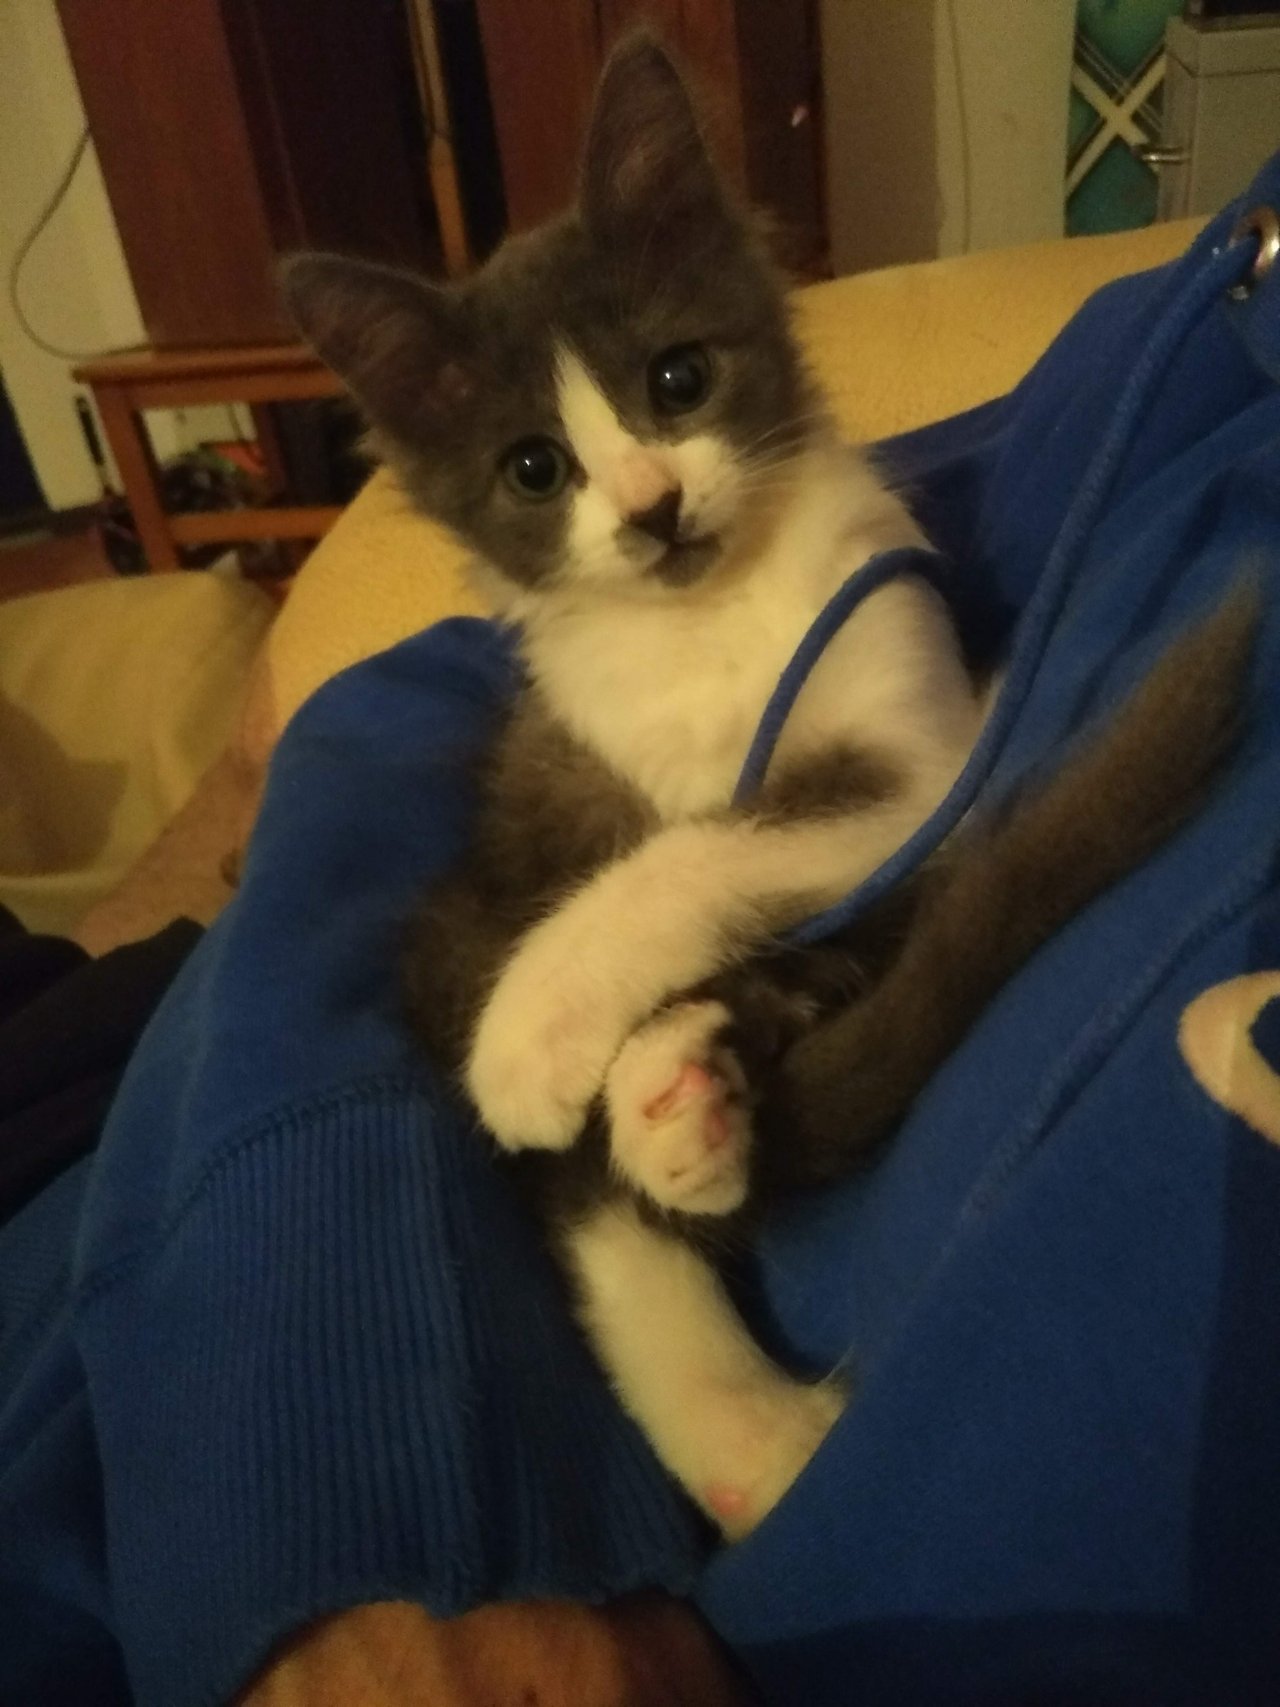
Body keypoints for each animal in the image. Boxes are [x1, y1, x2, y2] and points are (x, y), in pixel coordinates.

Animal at [282, 34, 1255, 1539]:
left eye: (678, 379)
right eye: (532, 468)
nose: (649, 508)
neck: (714, 617)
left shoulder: (924, 757)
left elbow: (708, 850)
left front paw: (551, 1019)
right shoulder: (588, 755)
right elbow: (674, 852)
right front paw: (537, 1048)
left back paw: (681, 1099)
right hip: (462, 903)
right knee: (593, 1188)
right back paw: (721, 1341)